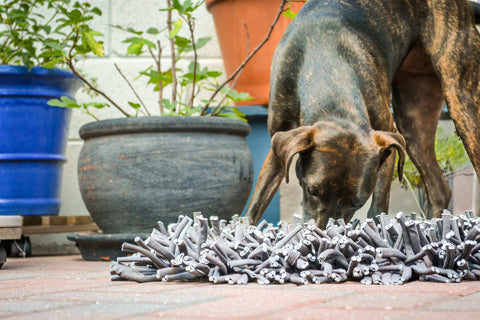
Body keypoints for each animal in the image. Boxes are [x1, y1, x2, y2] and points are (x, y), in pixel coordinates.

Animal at [246, 0, 480, 228]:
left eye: (356, 202)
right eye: (312, 190)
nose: (323, 234)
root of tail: (464, 7)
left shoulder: (387, 140)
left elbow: (377, 210)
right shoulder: (278, 145)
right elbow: (255, 205)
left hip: (463, 105)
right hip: (413, 125)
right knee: (440, 190)